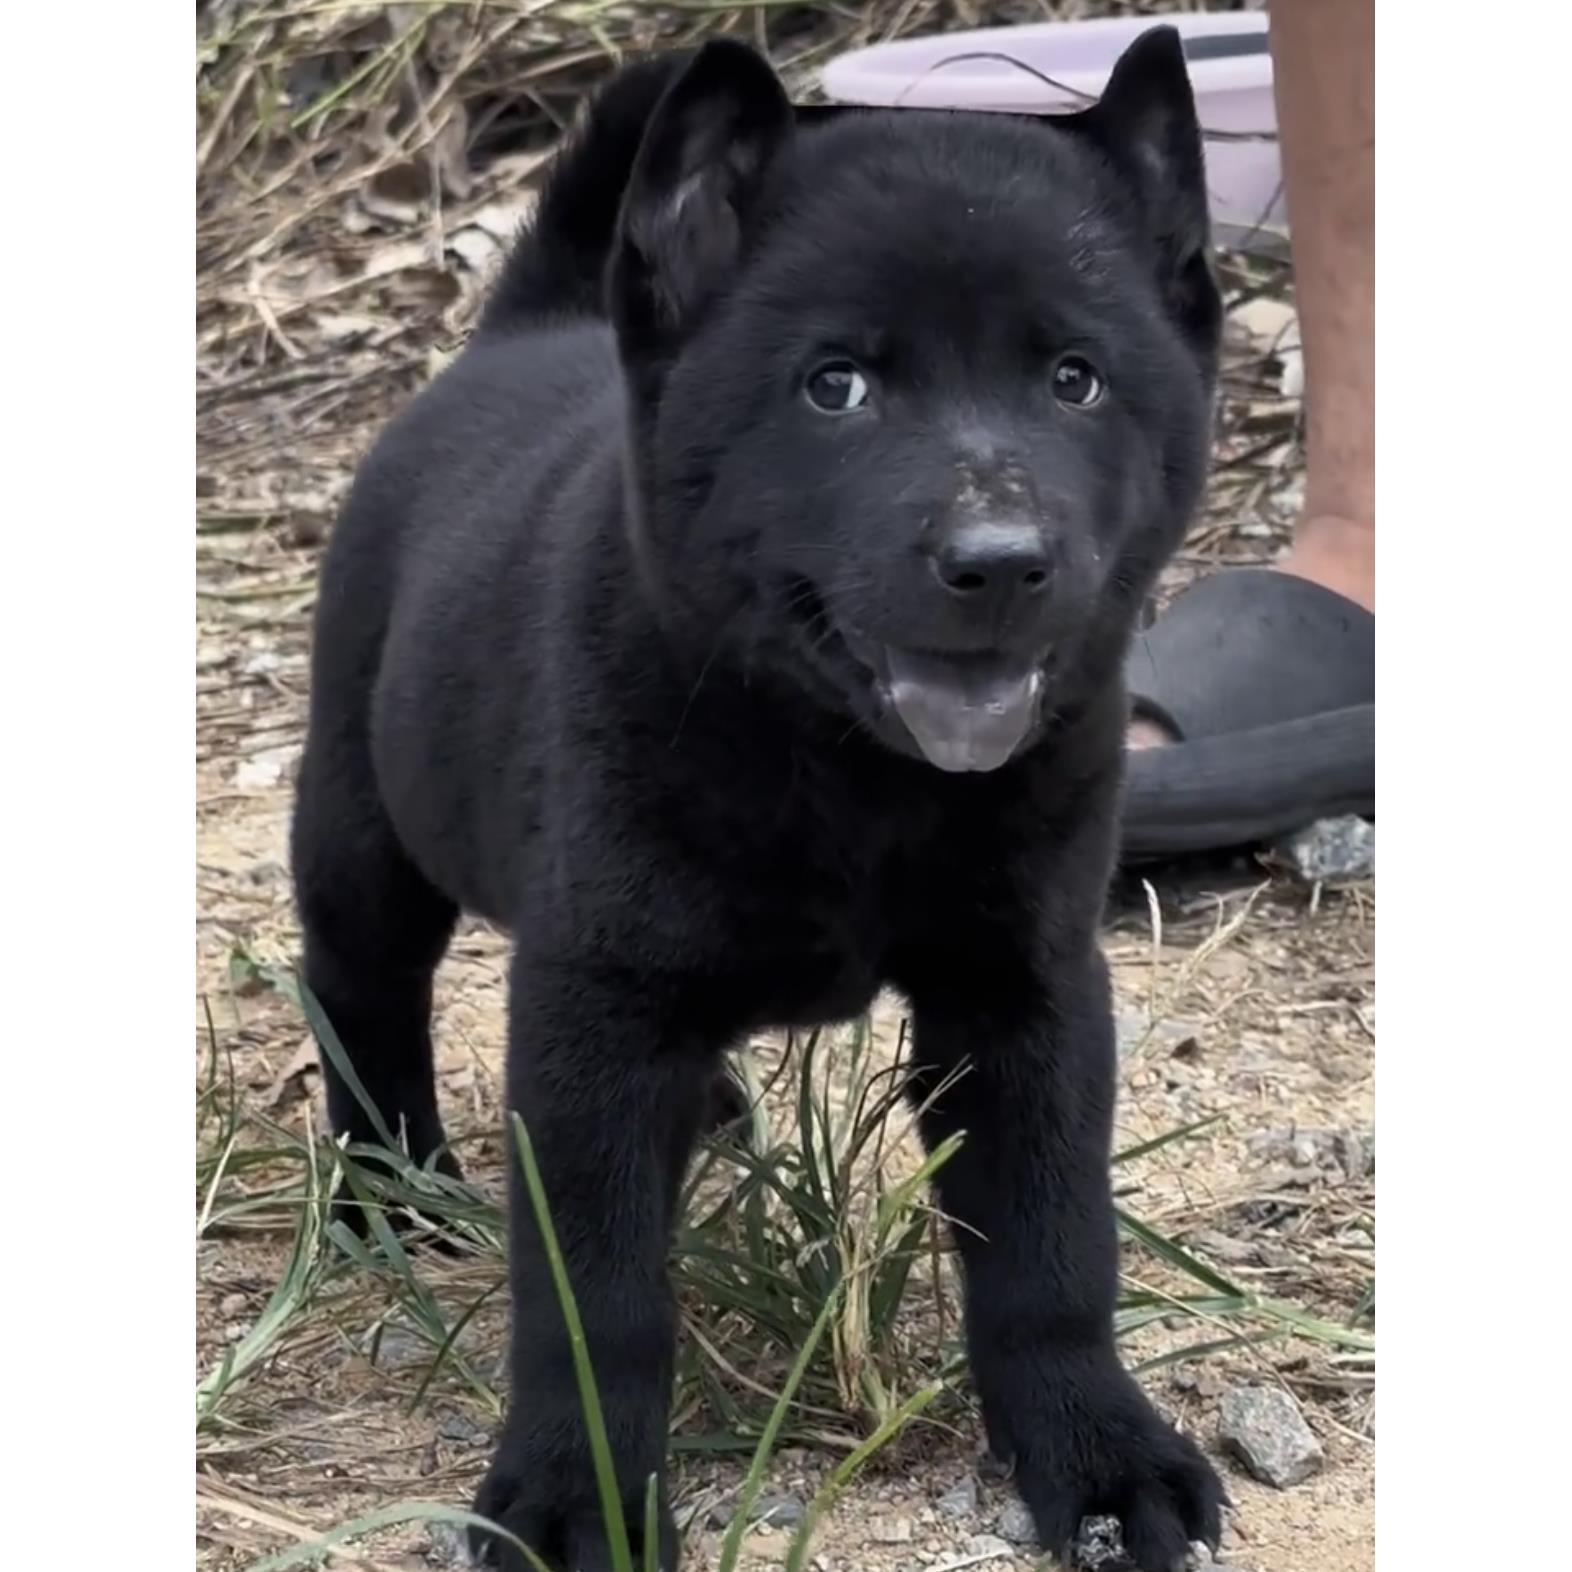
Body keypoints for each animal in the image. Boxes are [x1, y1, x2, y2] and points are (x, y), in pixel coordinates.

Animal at [292, 27, 1226, 1572]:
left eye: (1076, 381)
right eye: (834, 386)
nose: (1000, 562)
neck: (850, 774)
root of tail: (516, 339)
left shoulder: (1025, 991)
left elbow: (1051, 1245)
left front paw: (1101, 1456)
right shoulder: (597, 1012)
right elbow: (596, 1294)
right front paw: (577, 1498)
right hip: (362, 826)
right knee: (362, 994)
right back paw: (387, 1186)